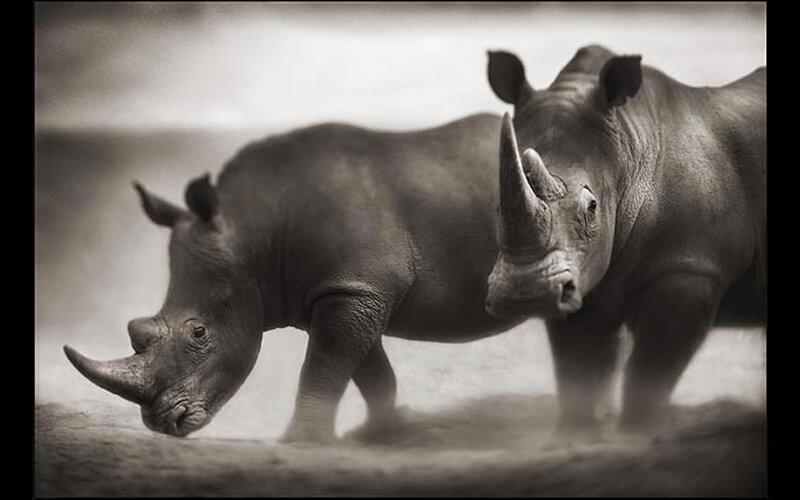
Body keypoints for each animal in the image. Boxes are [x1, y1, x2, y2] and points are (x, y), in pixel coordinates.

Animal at [63, 114, 525, 441]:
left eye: (199, 333)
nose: (162, 423)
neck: (253, 230)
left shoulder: (354, 290)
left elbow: (322, 367)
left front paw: (300, 442)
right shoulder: (348, 290)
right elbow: (369, 372)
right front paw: (381, 433)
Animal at [484, 45, 765, 432]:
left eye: (592, 207)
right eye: (496, 205)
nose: (526, 294)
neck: (627, 153)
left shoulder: (689, 267)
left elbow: (650, 374)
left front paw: (636, 435)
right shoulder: (580, 272)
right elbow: (577, 369)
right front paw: (576, 436)